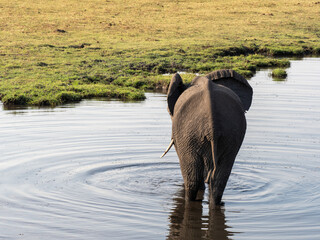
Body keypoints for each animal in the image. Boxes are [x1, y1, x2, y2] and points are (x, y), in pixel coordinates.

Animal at [161, 69, 254, 204]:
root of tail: (212, 125)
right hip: (230, 136)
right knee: (219, 178)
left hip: (188, 135)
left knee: (192, 176)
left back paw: (190, 200)